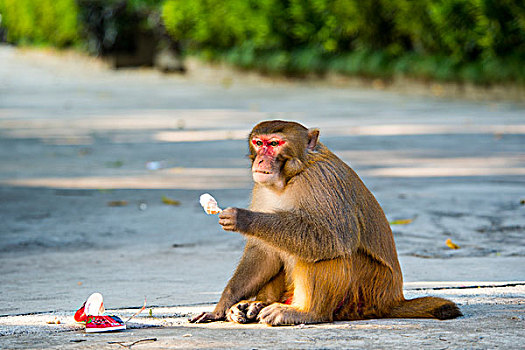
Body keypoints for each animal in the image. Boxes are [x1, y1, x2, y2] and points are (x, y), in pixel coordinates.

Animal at [190, 119, 460, 326]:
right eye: (259, 143)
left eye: (274, 144)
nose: (260, 161)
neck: (291, 176)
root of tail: (392, 299)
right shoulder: (261, 187)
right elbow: (264, 252)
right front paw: (220, 308)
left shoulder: (322, 180)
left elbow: (331, 238)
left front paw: (243, 218)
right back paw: (257, 305)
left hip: (366, 292)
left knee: (324, 251)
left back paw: (306, 312)